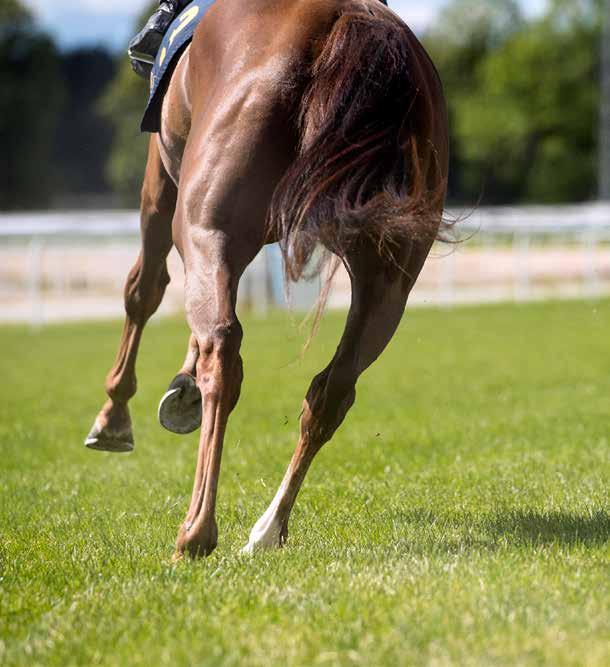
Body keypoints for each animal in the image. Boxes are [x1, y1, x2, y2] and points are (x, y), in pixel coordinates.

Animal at [84, 0, 446, 560]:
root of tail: (346, 23)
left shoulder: (162, 179)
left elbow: (143, 289)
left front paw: (114, 415)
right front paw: (178, 387)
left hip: (204, 223)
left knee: (223, 353)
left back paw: (196, 531)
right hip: (390, 279)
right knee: (331, 390)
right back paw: (268, 528)